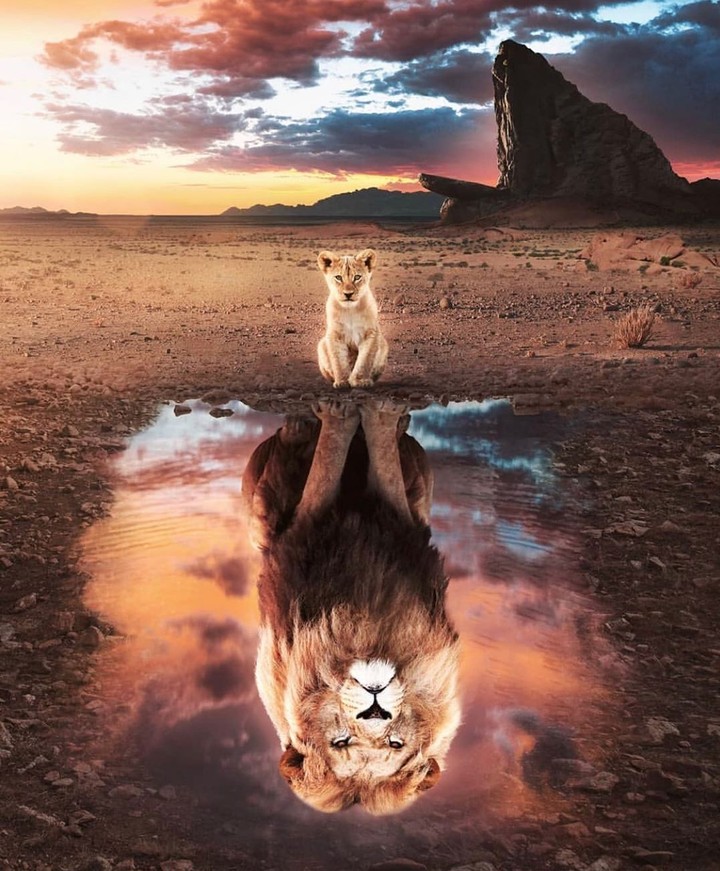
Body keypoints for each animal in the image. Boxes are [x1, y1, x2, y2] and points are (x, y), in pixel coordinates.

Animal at [242, 399, 461, 814]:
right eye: (340, 741)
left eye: (395, 743)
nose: (375, 706)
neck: (362, 630)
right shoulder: (305, 524)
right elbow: (329, 460)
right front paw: (342, 413)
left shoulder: (403, 519)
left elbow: (381, 463)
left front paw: (377, 415)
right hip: (257, 503)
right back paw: (299, 427)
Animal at [316, 249, 388, 389]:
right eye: (338, 277)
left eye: (357, 277)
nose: (348, 294)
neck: (350, 310)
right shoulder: (335, 335)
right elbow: (339, 361)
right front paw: (342, 382)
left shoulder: (371, 333)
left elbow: (364, 360)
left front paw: (360, 381)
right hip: (321, 345)